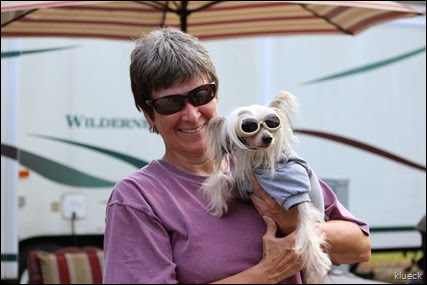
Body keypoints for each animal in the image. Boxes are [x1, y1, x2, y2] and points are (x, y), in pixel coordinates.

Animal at [202, 92, 332, 282]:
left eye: (271, 124)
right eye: (249, 127)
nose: (268, 138)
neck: (260, 157)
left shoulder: (296, 191)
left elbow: (306, 227)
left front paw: (317, 261)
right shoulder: (244, 187)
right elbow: (221, 179)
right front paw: (219, 206)